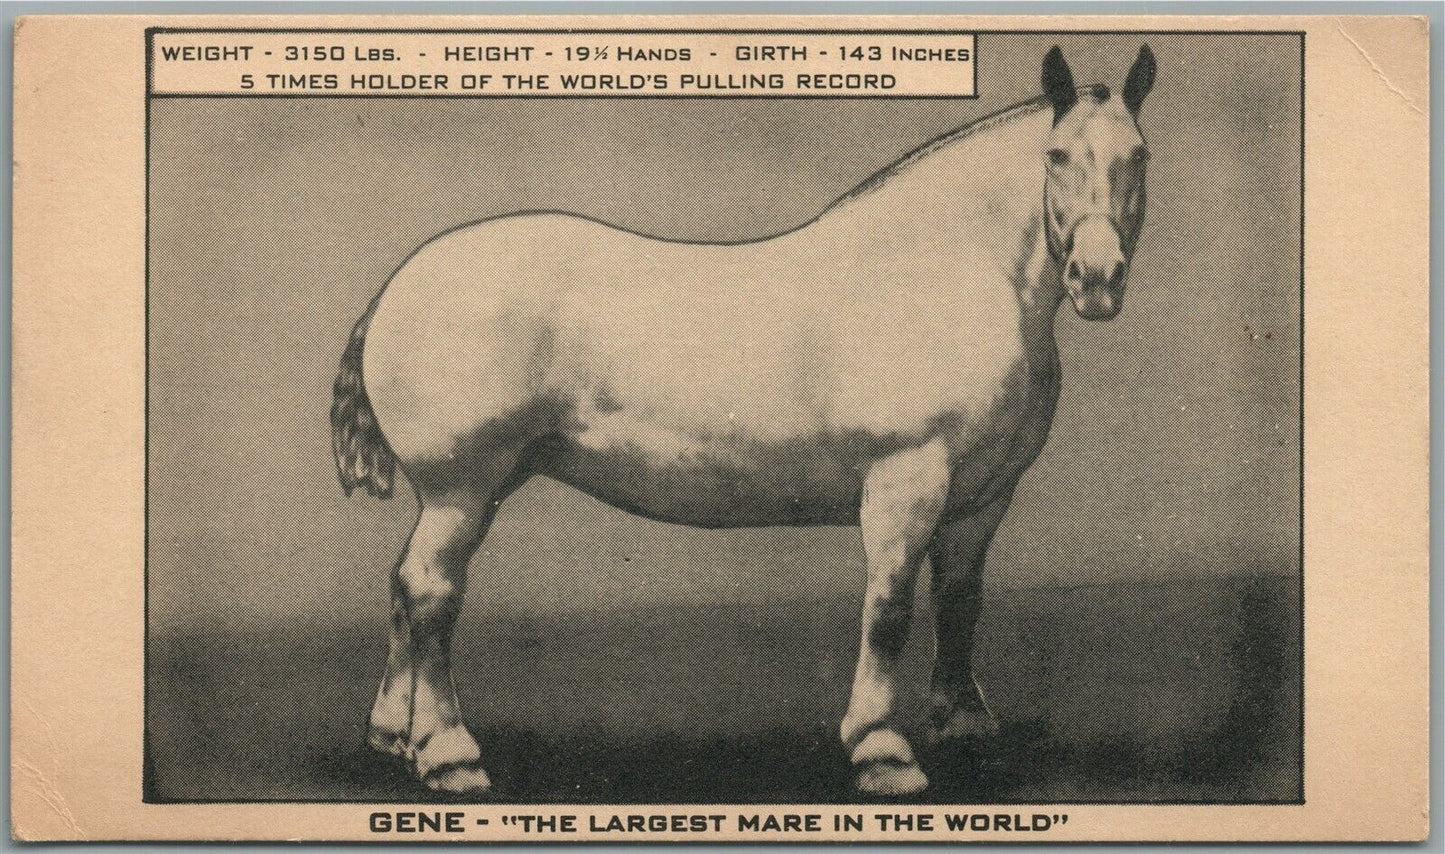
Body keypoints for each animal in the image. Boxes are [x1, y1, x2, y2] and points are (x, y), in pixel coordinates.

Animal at [331, 44, 1156, 796]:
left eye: (1138, 155)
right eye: (1054, 155)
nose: (1096, 278)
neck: (937, 277)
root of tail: (397, 287)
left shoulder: (981, 499)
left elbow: (959, 603)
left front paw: (965, 726)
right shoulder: (905, 481)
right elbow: (888, 609)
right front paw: (882, 751)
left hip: (466, 492)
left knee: (405, 588)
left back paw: (393, 735)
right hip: (462, 489)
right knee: (431, 593)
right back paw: (448, 754)